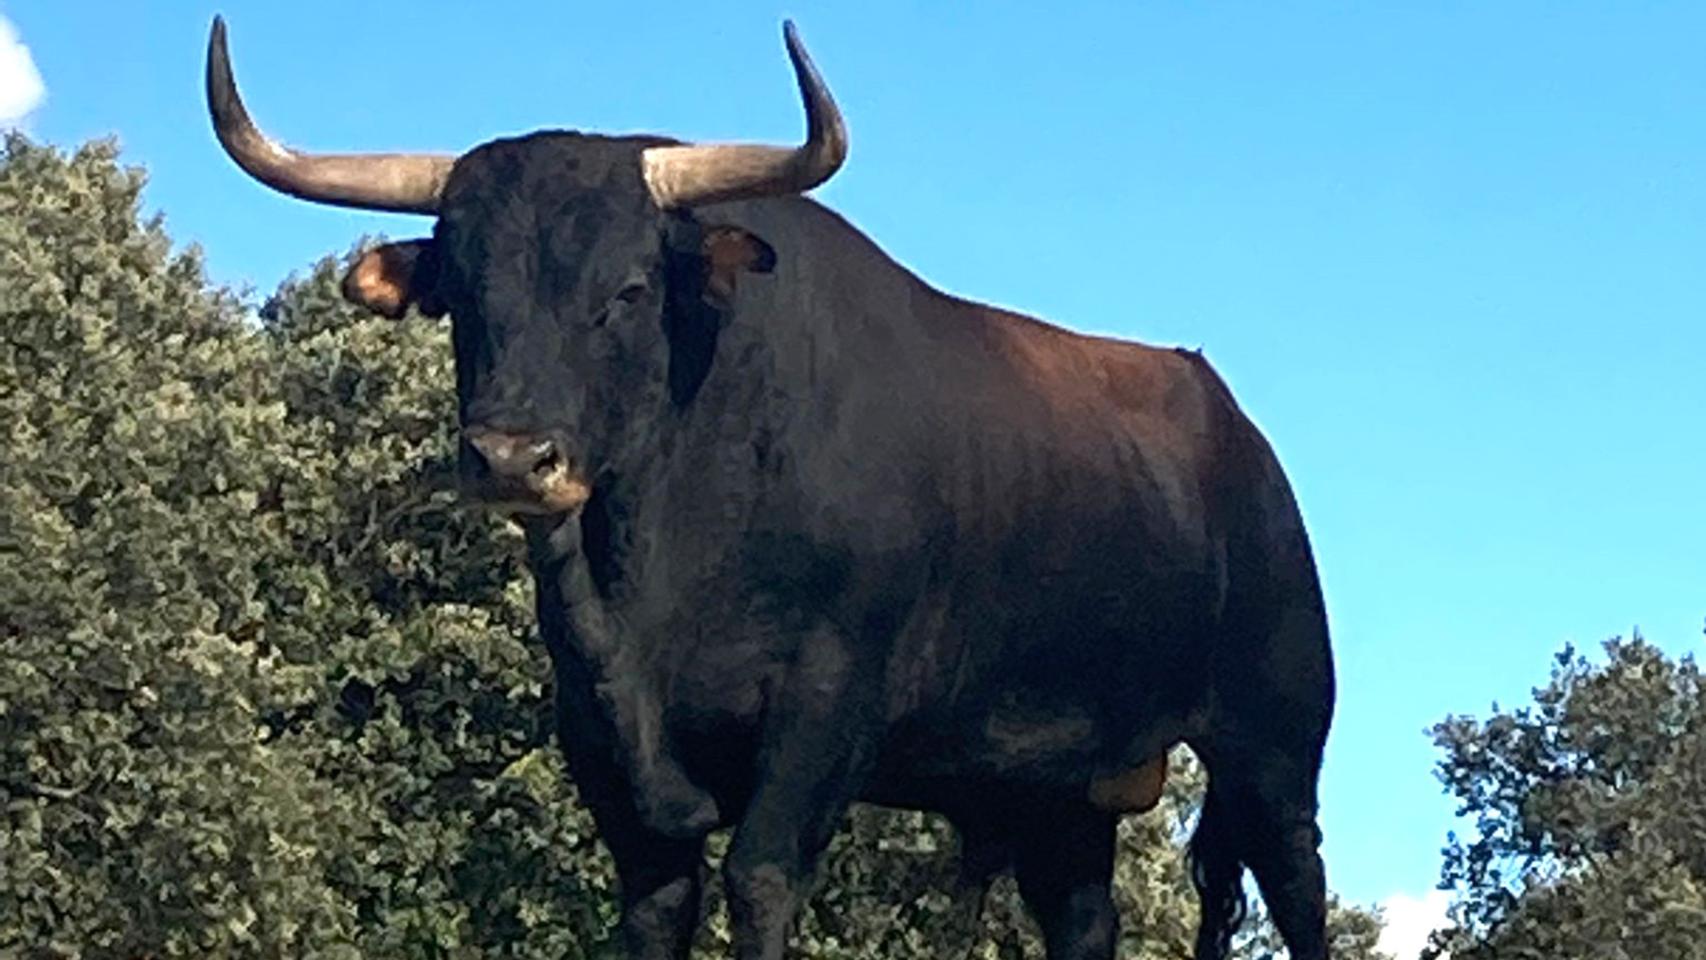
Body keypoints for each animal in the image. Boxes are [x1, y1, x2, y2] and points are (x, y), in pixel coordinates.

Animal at [209, 16, 1330, 960]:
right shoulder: (605, 753)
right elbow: (657, 906)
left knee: (1298, 888)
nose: (513, 458)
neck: (648, 586)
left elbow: (758, 880)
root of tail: (1237, 434)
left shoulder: (821, 711)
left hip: (1273, 745)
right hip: (1059, 788)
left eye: (628, 289)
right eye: (462, 292)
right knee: (1084, 919)